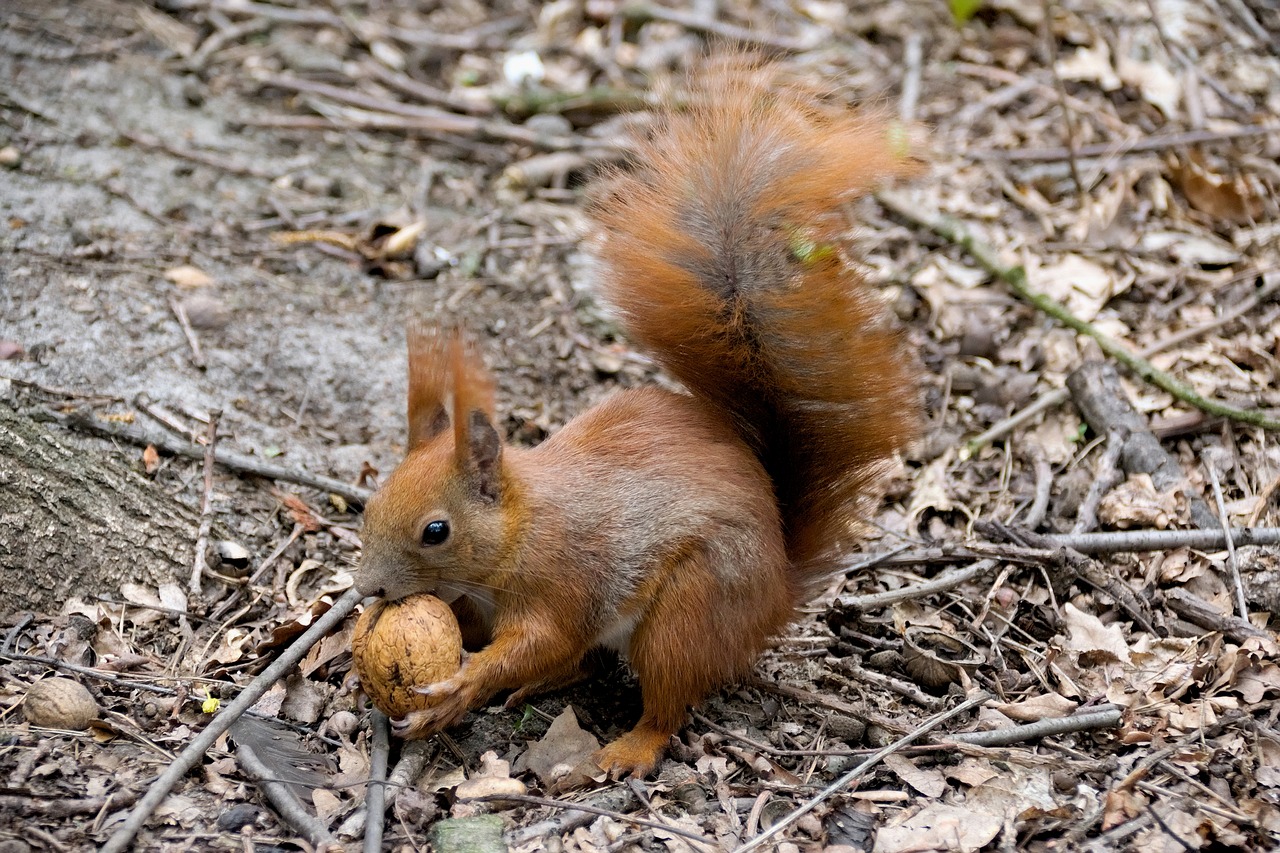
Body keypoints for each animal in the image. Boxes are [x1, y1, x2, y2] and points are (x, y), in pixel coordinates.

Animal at [355, 61, 926, 778]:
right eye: (370, 503)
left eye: (437, 531)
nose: (368, 588)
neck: (520, 532)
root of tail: (778, 590)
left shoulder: (565, 582)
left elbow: (540, 640)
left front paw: (462, 685)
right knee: (583, 667)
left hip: (690, 608)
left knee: (665, 701)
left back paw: (628, 748)